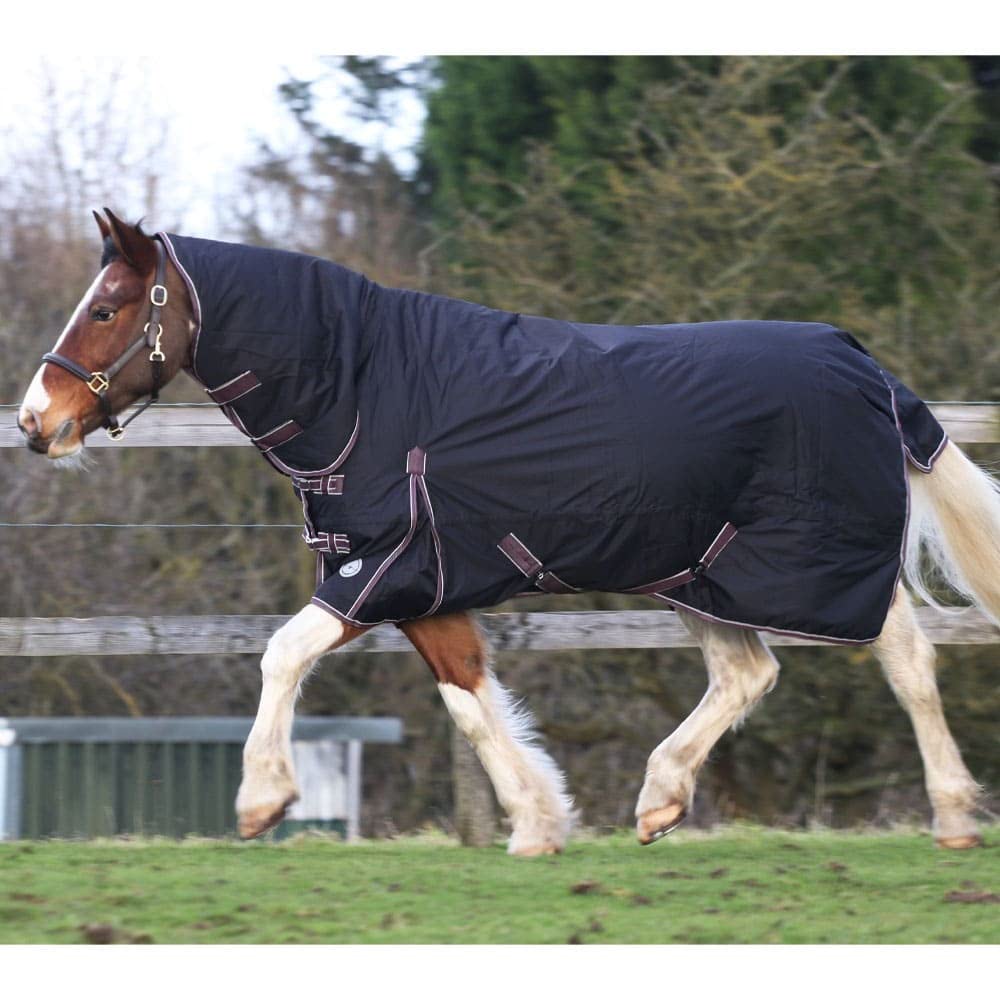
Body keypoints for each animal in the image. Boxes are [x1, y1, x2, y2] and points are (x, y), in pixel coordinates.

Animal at [17, 209, 998, 855]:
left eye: (105, 308)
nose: (36, 421)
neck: (363, 393)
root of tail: (863, 362)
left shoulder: (375, 573)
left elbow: (282, 655)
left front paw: (263, 801)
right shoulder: (424, 586)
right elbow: (468, 700)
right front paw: (538, 824)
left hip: (806, 569)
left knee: (904, 657)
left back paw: (954, 816)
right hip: (700, 574)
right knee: (746, 674)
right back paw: (658, 802)